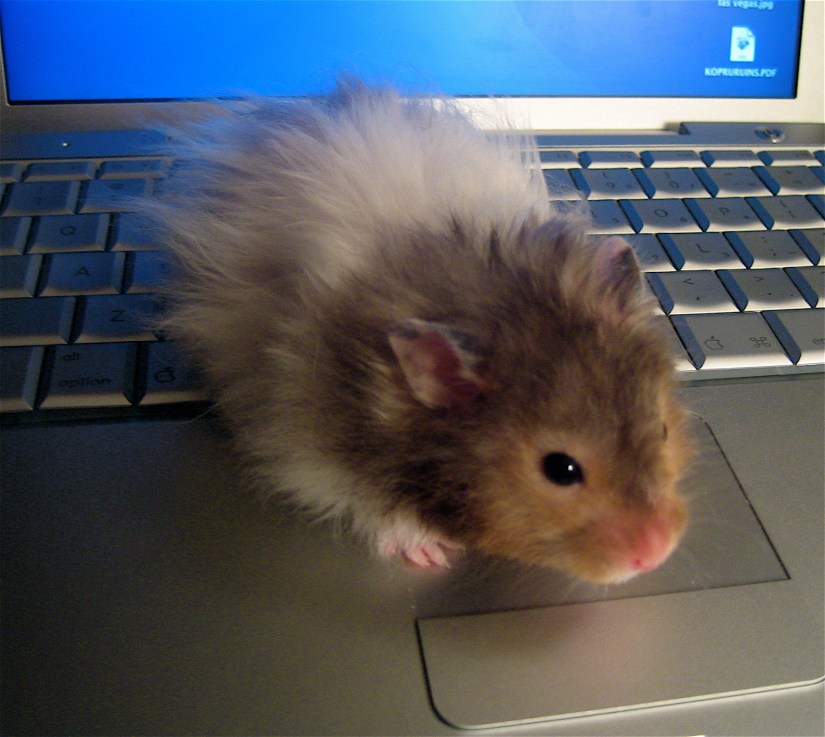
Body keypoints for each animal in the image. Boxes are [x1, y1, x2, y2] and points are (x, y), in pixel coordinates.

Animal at [148, 80, 690, 584]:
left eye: (663, 430)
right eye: (561, 469)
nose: (656, 553)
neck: (502, 300)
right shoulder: (315, 452)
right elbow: (371, 509)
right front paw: (433, 556)